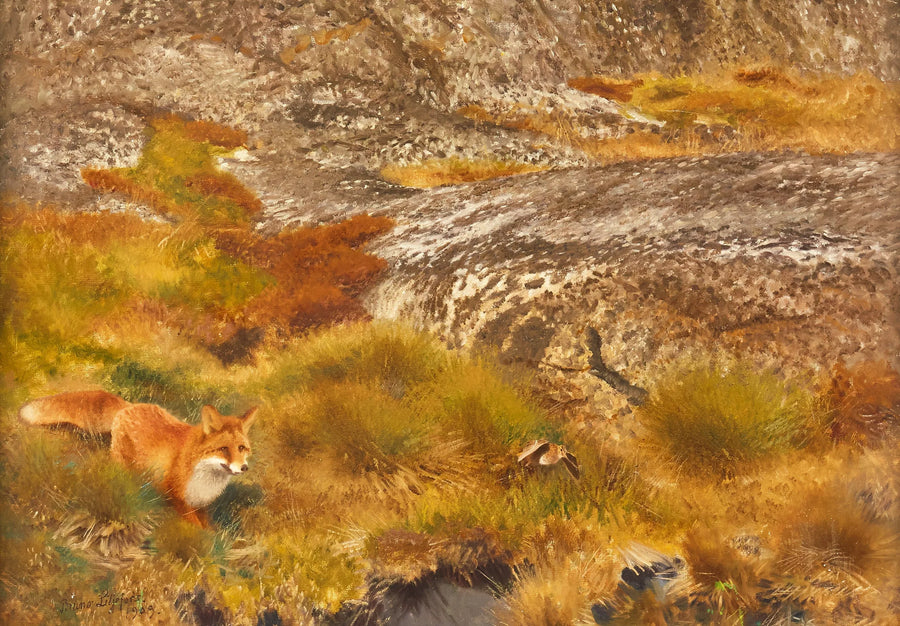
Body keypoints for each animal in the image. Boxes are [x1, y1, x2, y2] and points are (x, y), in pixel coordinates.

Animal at [18, 390, 257, 527]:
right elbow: (197, 530)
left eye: (242, 448)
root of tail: (130, 405)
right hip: (122, 467)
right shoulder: (177, 498)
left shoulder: (200, 505)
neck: (204, 477)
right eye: (224, 449)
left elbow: (208, 529)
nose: (244, 468)